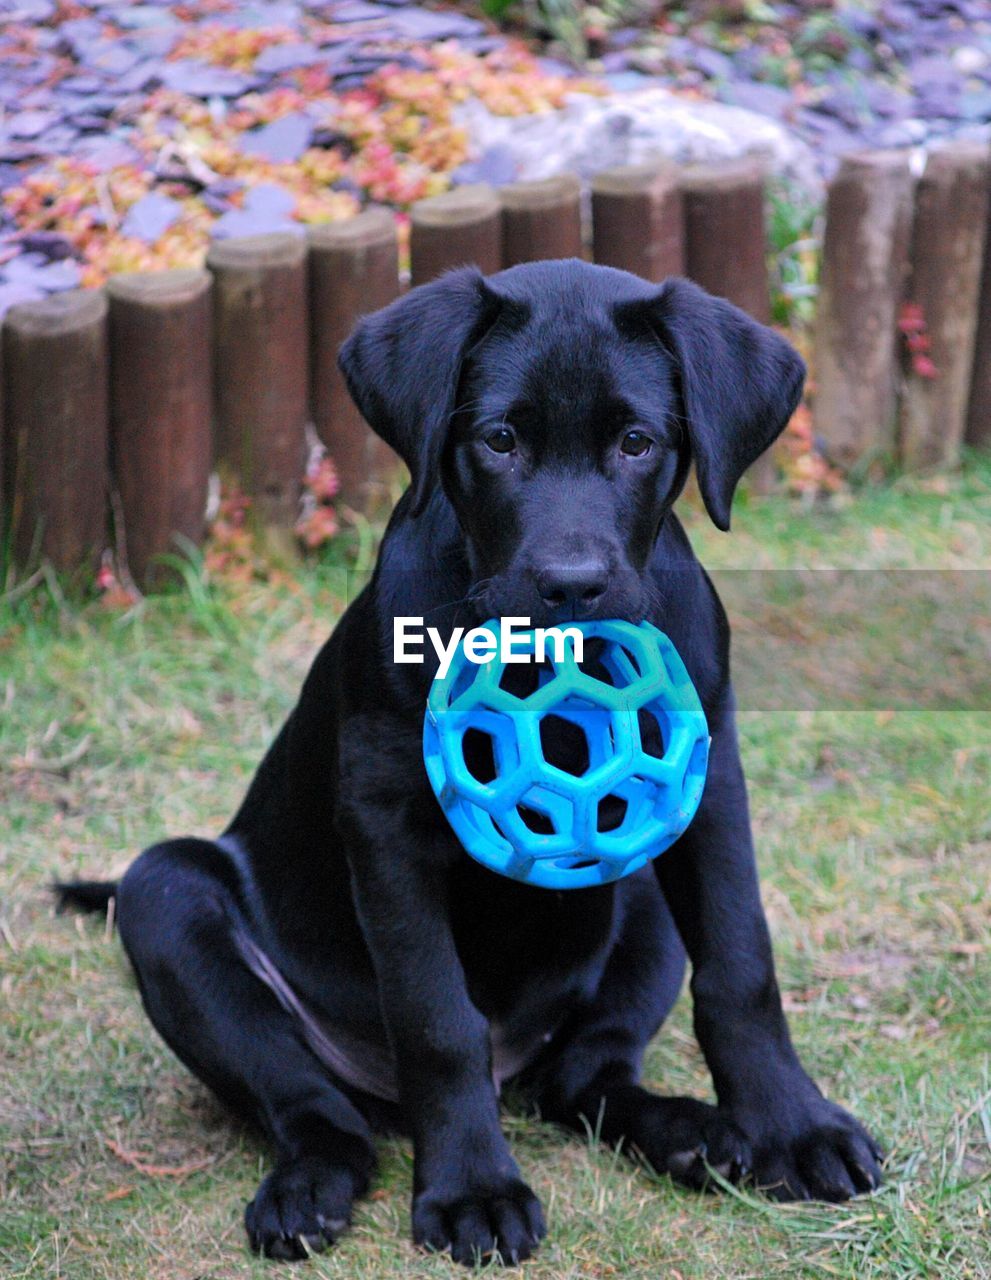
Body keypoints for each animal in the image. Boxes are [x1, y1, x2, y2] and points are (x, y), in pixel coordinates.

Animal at [60, 257, 886, 1259]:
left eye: (637, 443)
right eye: (498, 440)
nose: (571, 585)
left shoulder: (709, 784)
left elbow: (739, 965)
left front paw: (791, 1127)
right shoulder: (384, 824)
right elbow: (436, 1020)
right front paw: (471, 1189)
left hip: (639, 895)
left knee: (584, 1080)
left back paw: (689, 1134)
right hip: (167, 899)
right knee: (316, 1109)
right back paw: (308, 1188)